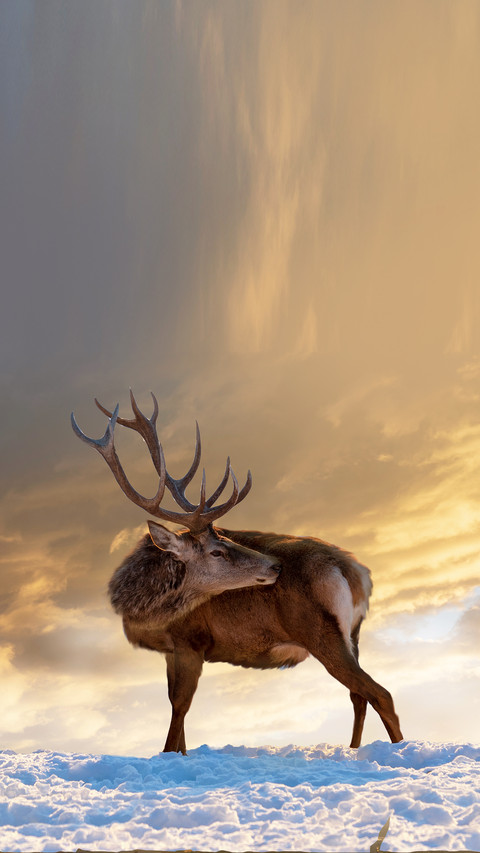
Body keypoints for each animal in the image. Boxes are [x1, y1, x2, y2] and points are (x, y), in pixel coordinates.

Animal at [71, 391, 403, 755]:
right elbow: (177, 709)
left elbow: (180, 707)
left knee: (380, 693)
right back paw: (354, 750)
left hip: (320, 630)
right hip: (353, 633)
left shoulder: (191, 639)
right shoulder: (172, 650)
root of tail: (355, 573)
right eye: (218, 548)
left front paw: (169, 754)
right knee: (359, 696)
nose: (275, 565)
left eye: (225, 539)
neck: (142, 609)